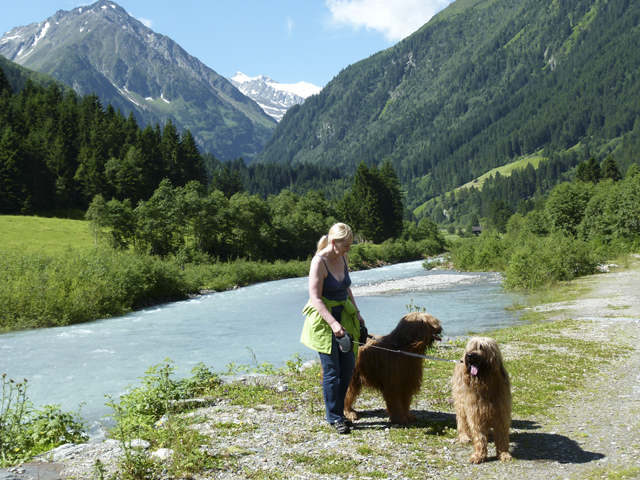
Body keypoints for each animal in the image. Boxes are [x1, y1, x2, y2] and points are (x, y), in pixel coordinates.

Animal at [452, 336, 512, 464]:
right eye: (471, 347)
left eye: (481, 347)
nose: (469, 355)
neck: (485, 384)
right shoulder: (476, 413)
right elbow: (479, 436)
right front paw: (478, 455)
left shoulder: (501, 413)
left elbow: (502, 435)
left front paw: (504, 454)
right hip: (461, 401)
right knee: (462, 420)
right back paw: (464, 436)